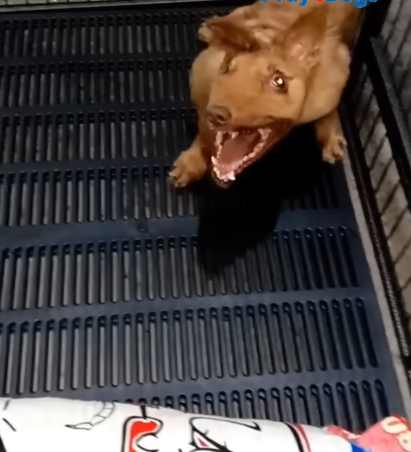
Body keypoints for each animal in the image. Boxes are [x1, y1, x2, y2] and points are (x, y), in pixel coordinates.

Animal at [169, 0, 362, 189]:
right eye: (227, 66)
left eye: (279, 81)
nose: (216, 115)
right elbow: (203, 131)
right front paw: (192, 162)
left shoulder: (336, 75)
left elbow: (332, 107)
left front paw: (330, 132)